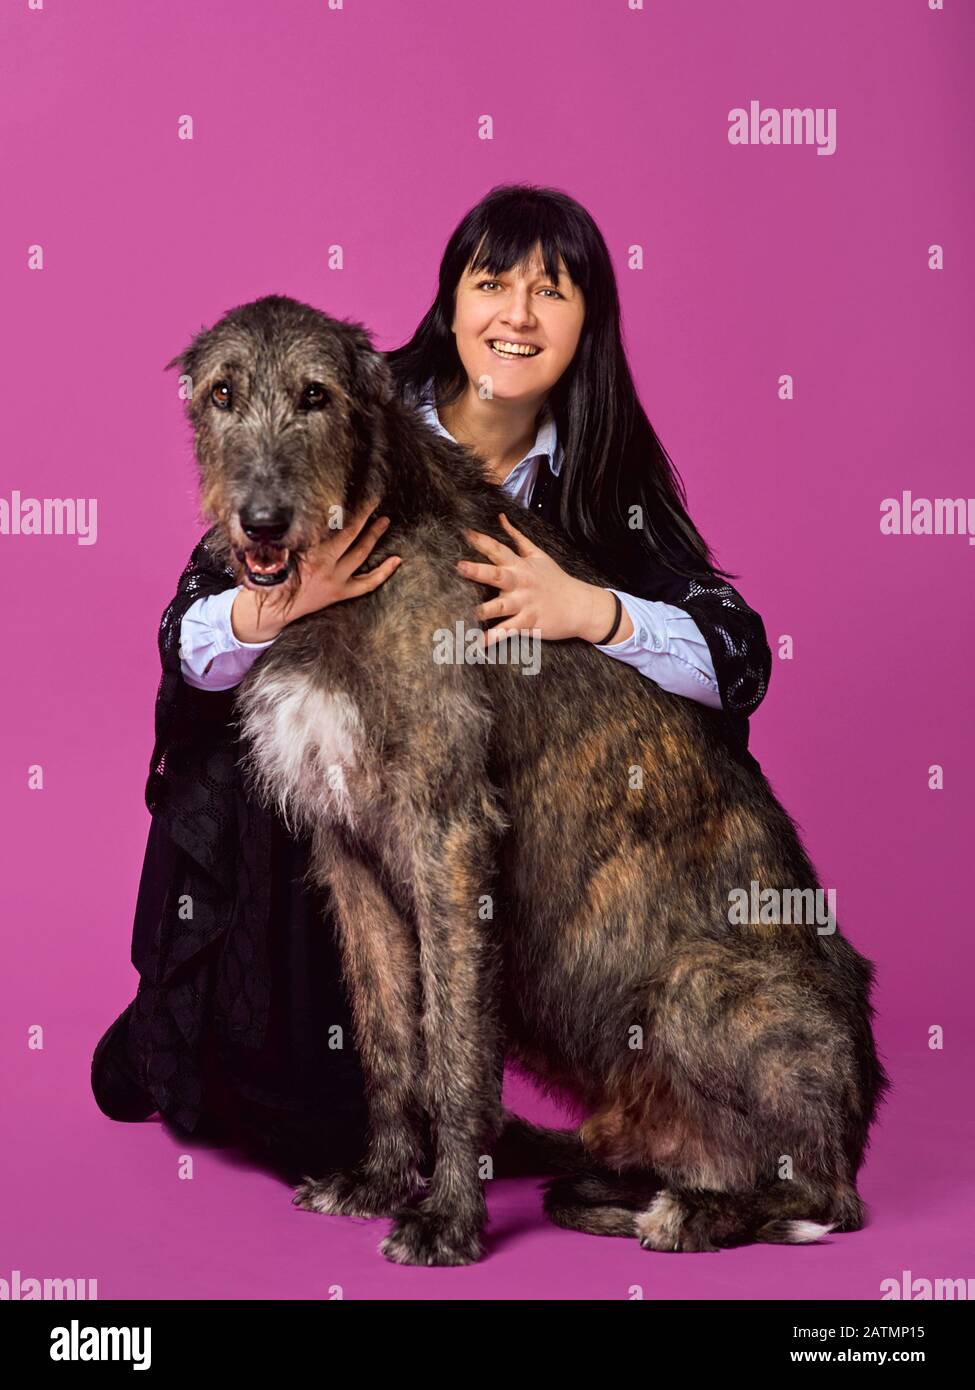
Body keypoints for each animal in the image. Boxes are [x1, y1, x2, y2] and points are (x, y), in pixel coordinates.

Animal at [163, 296, 884, 1273]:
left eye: (315, 395)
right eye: (222, 393)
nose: (264, 521)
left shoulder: (449, 830)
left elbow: (454, 1042)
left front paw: (449, 1219)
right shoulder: (347, 848)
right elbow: (387, 1034)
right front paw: (379, 1180)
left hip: (696, 989)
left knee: (824, 1200)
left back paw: (692, 1214)